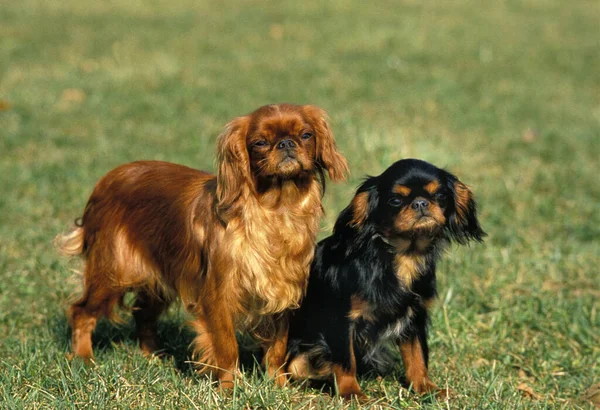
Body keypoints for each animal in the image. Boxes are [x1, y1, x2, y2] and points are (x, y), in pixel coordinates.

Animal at [57, 103, 346, 388]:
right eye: (260, 143)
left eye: (306, 135)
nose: (286, 143)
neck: (276, 209)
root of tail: (105, 181)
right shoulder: (218, 296)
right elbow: (227, 346)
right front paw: (230, 388)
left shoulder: (282, 291)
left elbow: (277, 347)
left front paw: (279, 385)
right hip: (112, 273)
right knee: (81, 311)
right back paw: (84, 358)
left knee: (143, 315)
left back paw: (154, 357)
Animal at [284, 159, 486, 398]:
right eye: (395, 200)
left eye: (439, 195)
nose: (420, 203)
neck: (404, 255)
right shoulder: (342, 320)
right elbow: (345, 361)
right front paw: (351, 393)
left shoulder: (413, 318)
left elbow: (417, 356)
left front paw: (426, 388)